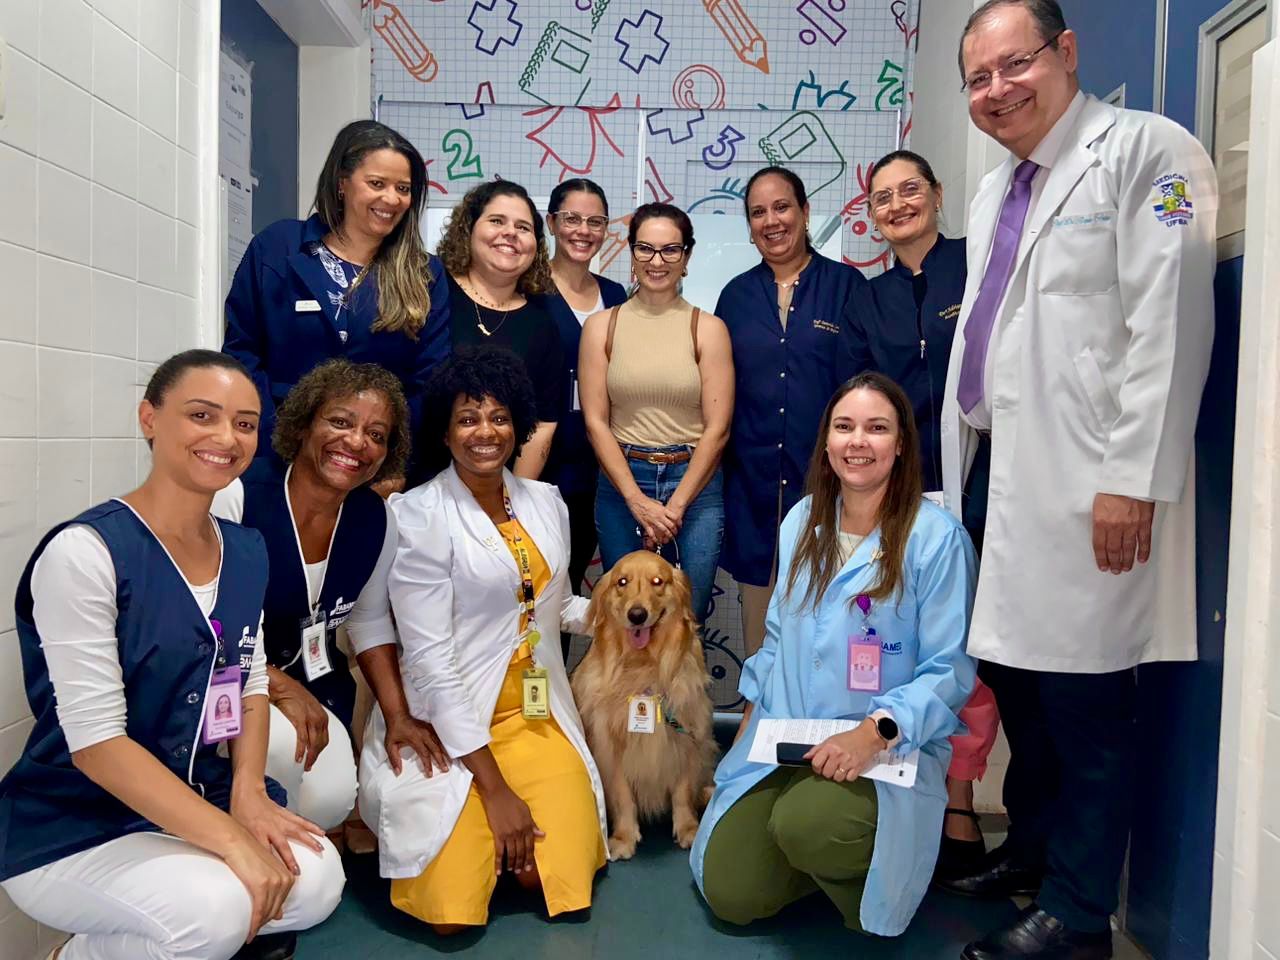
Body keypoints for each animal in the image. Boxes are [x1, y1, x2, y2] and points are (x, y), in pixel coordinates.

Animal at [571, 551, 718, 860]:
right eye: (622, 582)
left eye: (657, 581)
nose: (636, 615)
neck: (642, 667)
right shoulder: (610, 746)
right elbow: (623, 795)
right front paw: (624, 837)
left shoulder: (686, 737)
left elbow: (682, 792)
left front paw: (688, 829)